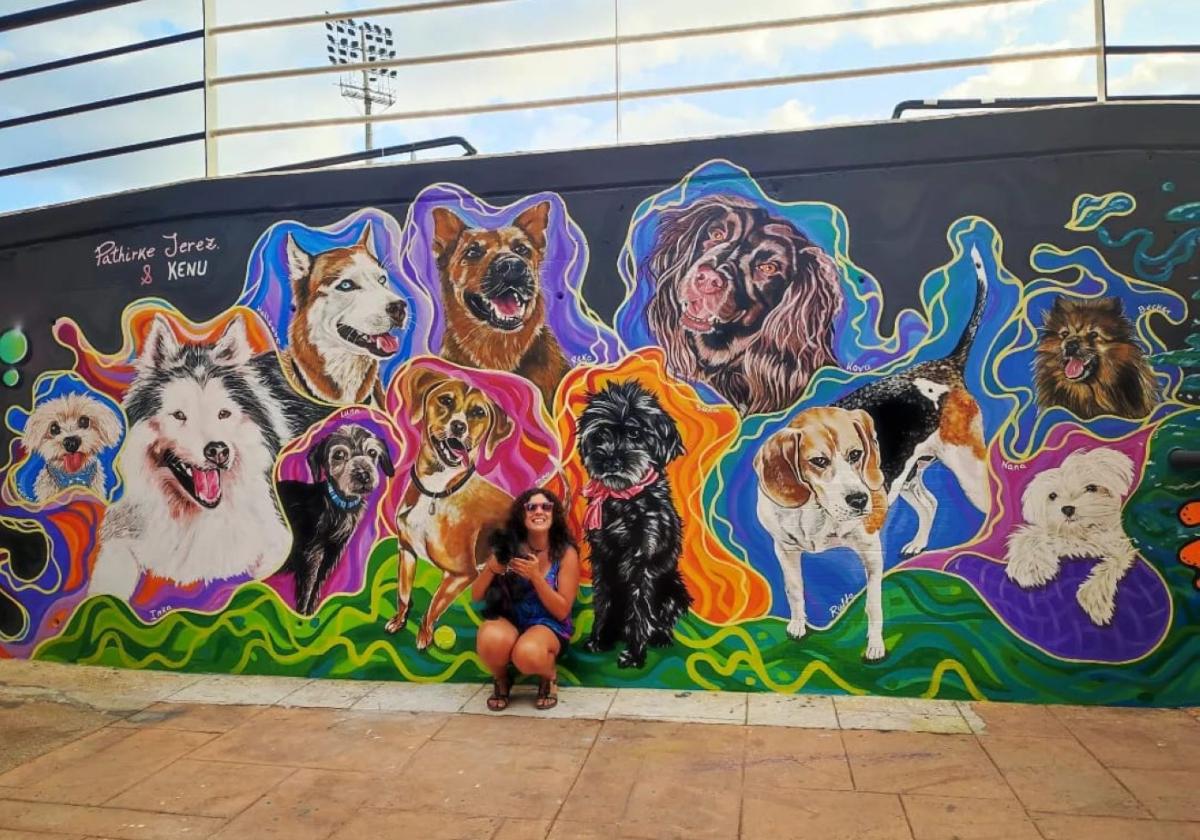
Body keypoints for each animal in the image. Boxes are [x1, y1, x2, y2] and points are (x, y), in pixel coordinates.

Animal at [276, 422, 393, 614]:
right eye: (339, 455)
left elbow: (316, 589)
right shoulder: (311, 555)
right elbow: (306, 591)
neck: (336, 505)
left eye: (372, 453)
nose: (363, 475)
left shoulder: (331, 555)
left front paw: (310, 613)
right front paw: (302, 616)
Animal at [580, 381, 696, 667]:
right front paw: (599, 639)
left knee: (661, 619)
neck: (624, 500)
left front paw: (633, 655)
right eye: (600, 435)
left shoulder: (643, 562)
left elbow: (640, 609)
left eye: (634, 433)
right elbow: (603, 601)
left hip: (674, 590)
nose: (610, 461)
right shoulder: (601, 559)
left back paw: (660, 637)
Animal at [1003, 448, 1132, 628]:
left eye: (1091, 487)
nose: (1068, 509)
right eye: (1052, 496)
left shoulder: (1118, 546)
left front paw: (1096, 600)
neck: (1079, 533)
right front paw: (1030, 568)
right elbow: (1028, 537)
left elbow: (1112, 565)